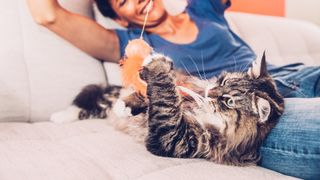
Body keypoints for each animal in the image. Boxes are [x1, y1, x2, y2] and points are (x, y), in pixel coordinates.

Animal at [51, 52, 284, 166]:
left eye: (228, 102)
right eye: (224, 81)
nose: (211, 91)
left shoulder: (175, 139)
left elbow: (165, 98)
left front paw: (158, 66)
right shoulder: (186, 91)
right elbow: (159, 95)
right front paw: (127, 105)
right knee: (91, 100)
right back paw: (60, 116)